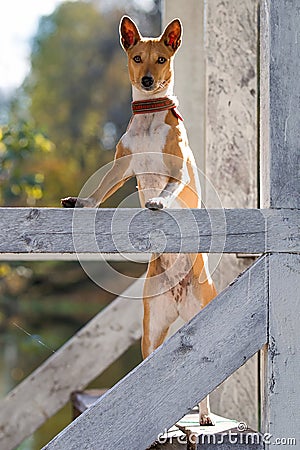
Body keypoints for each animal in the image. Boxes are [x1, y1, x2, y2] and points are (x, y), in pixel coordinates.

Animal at [62, 15, 217, 426]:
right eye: (137, 58)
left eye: (161, 59)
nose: (147, 80)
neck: (148, 116)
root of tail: (178, 297)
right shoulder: (121, 167)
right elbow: (100, 192)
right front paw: (81, 202)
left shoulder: (177, 168)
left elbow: (168, 189)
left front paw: (159, 201)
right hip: (152, 332)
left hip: (204, 318)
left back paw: (205, 417)